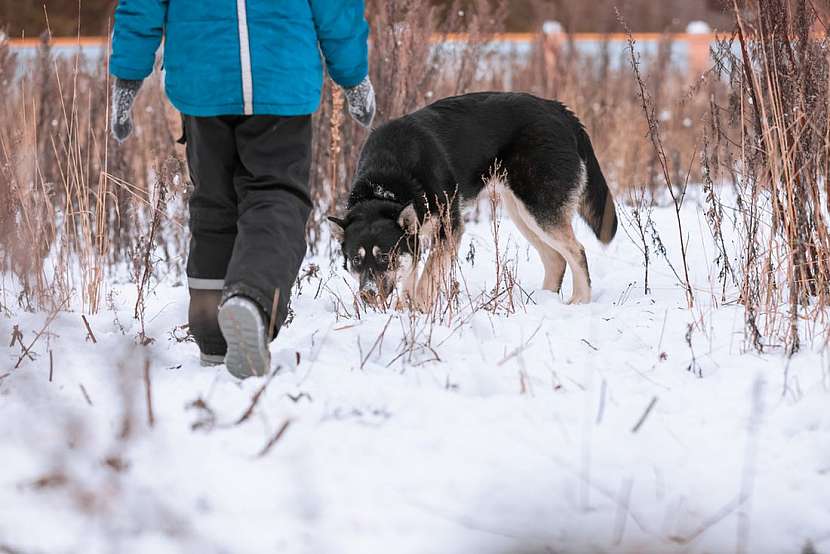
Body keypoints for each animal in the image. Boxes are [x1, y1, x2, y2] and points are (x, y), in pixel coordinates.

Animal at [330, 91, 616, 306]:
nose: (368, 295)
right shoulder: (414, 241)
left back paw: (580, 300)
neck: (386, 181)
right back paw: (543, 301)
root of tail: (559, 110)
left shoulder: (449, 231)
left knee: (577, 251)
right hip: (522, 213)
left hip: (539, 209)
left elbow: (426, 279)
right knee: (556, 259)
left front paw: (418, 311)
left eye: (384, 257)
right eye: (356, 260)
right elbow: (409, 275)